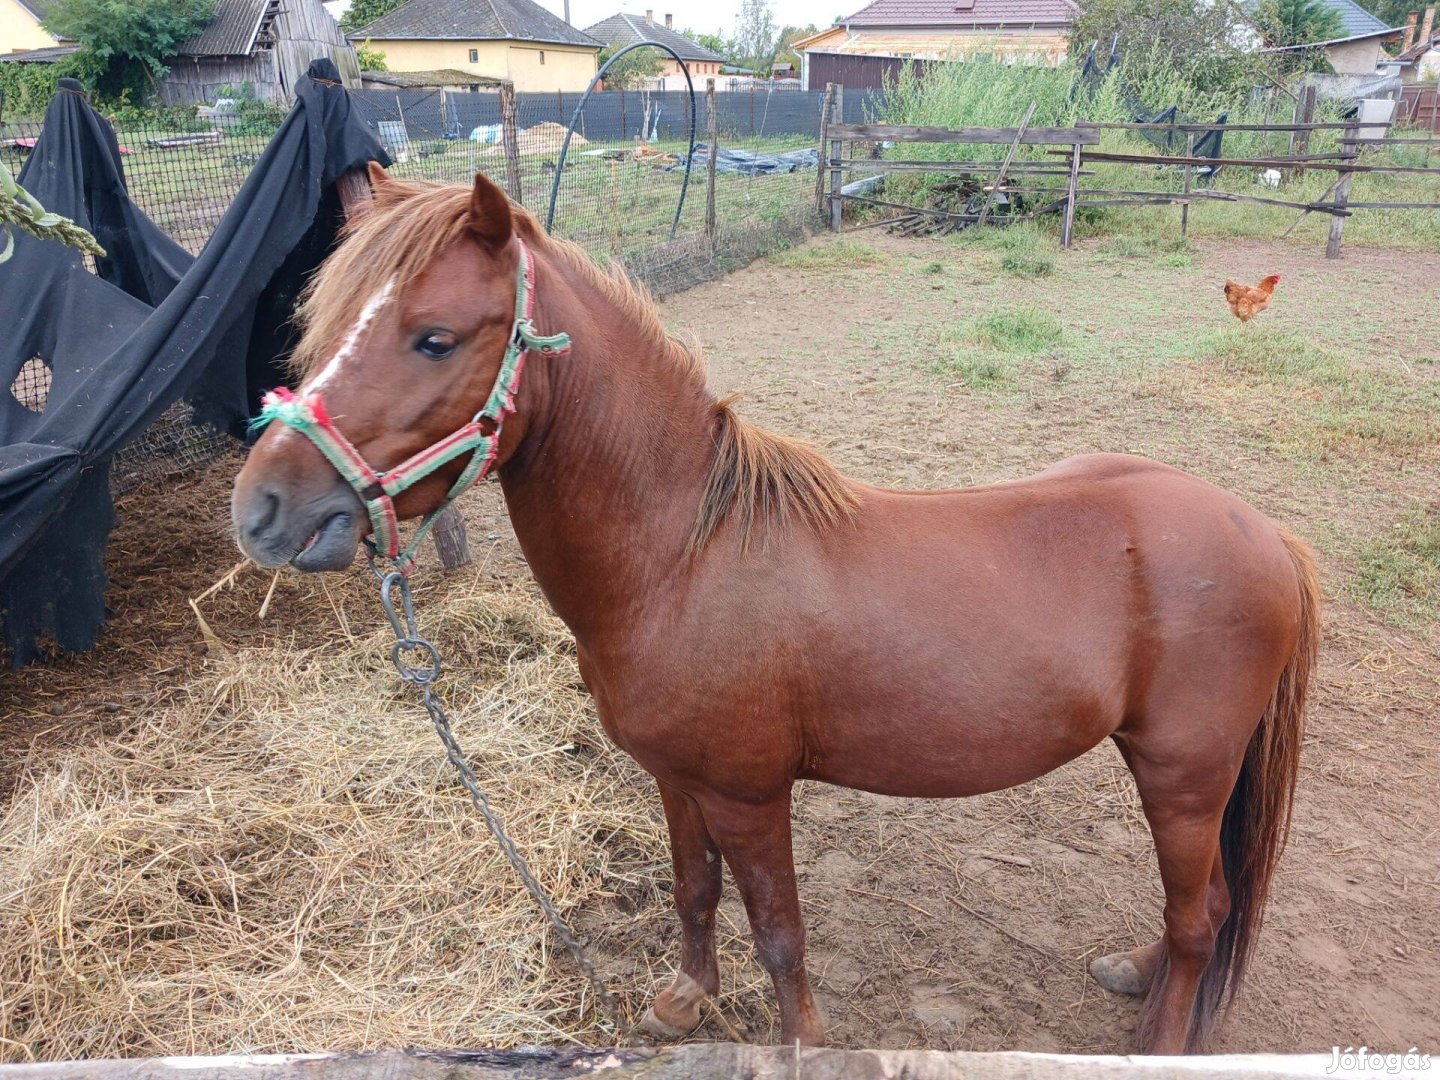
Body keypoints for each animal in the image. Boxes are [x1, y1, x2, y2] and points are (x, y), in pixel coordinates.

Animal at [230, 169, 1319, 1059]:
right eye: (326, 326)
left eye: (435, 337)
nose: (264, 511)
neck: (684, 559)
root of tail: (1268, 536)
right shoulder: (675, 779)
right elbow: (694, 892)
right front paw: (683, 1003)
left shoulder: (750, 794)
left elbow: (782, 932)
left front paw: (801, 1042)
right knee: (1207, 906)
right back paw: (1134, 975)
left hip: (1182, 775)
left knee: (1200, 919)